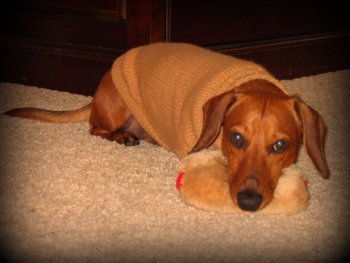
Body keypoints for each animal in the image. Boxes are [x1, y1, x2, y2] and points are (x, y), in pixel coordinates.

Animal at [4, 43, 330, 212]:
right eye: (236, 138)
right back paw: (122, 136)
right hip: (116, 109)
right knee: (94, 127)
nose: (248, 202)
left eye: (280, 145)